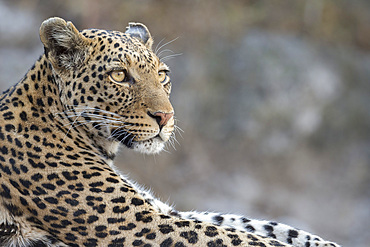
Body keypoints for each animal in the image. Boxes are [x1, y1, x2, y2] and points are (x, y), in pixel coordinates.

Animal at [0, 16, 342, 245]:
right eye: (119, 75)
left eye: (162, 75)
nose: (165, 116)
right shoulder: (143, 224)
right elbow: (237, 236)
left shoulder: (160, 210)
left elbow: (255, 225)